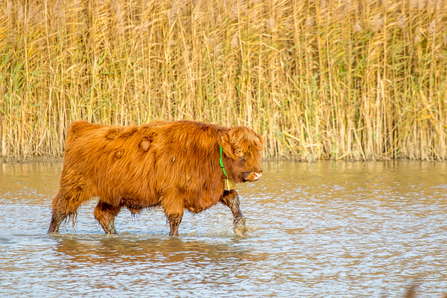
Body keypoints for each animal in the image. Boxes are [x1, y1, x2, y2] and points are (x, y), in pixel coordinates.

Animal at [47, 120, 264, 236]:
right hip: (74, 186)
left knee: (103, 215)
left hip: (112, 195)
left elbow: (234, 199)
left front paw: (240, 227)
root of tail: (83, 127)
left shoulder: (213, 189)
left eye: (257, 151)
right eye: (239, 151)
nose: (257, 173)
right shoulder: (172, 195)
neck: (205, 153)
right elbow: (175, 219)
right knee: (60, 210)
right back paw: (52, 234)